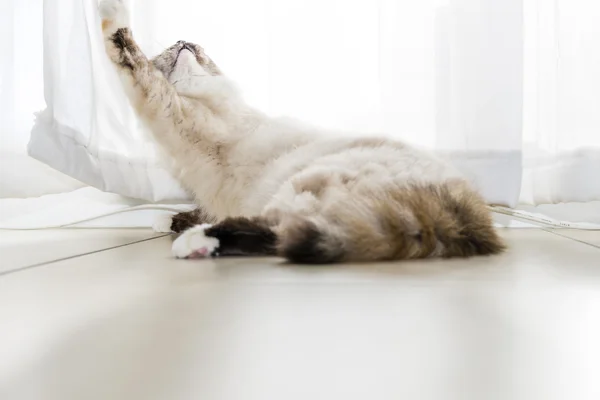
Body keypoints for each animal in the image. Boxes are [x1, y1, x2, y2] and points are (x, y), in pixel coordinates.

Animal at [99, 0, 506, 264]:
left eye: (197, 51)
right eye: (176, 49)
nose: (185, 41)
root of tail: (463, 213)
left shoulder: (173, 116)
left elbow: (127, 55)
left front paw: (109, 13)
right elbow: (196, 208)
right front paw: (166, 220)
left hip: (298, 185)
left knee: (285, 230)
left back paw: (195, 242)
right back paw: (198, 242)